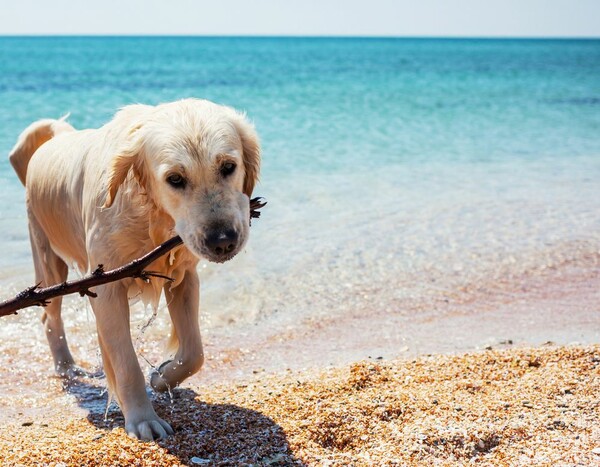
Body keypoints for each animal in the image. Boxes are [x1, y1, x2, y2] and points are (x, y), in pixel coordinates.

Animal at [7, 99, 260, 442]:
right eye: (175, 179)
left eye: (228, 167)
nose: (222, 242)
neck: (151, 214)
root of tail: (59, 135)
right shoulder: (106, 288)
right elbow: (126, 364)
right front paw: (143, 420)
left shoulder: (182, 277)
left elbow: (194, 352)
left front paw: (163, 376)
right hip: (47, 257)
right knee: (50, 316)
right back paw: (68, 368)